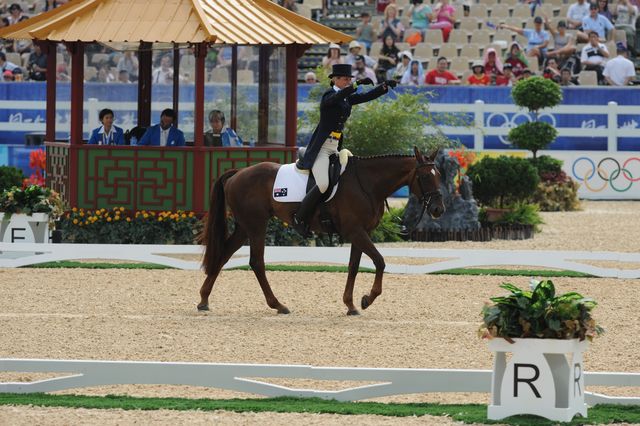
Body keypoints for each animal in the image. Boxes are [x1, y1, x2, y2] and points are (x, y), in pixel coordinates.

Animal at [198, 147, 442, 316]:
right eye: (425, 177)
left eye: (438, 174)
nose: (439, 209)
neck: (366, 183)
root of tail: (238, 172)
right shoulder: (355, 231)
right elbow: (380, 261)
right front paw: (367, 299)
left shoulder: (360, 232)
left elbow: (354, 266)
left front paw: (350, 304)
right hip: (257, 225)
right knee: (256, 262)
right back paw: (278, 305)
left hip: (245, 227)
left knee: (224, 254)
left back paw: (204, 300)